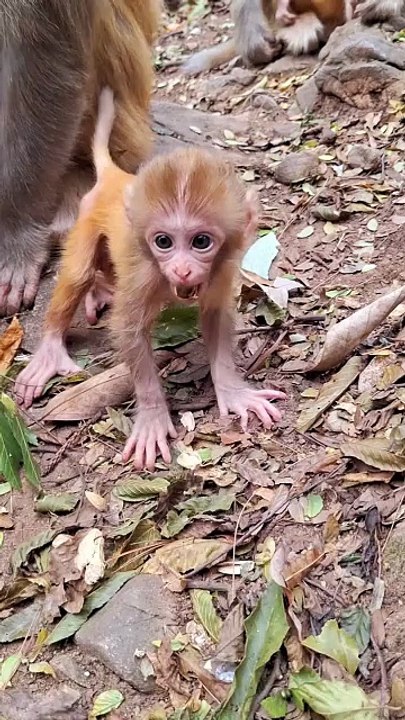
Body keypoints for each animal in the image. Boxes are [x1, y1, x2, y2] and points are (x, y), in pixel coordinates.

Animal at [15, 88, 286, 472]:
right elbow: (129, 329)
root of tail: (115, 177)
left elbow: (214, 316)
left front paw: (232, 390)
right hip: (86, 216)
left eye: (201, 242)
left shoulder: (222, 268)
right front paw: (153, 415)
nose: (183, 270)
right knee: (80, 271)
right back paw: (52, 346)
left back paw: (100, 290)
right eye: (164, 242)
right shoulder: (144, 273)